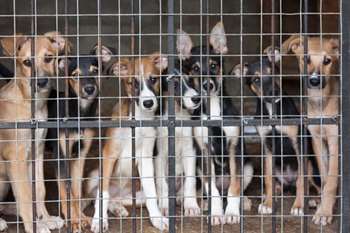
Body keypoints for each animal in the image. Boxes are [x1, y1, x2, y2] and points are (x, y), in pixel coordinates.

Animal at [0, 32, 69, 233]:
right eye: (27, 62)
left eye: (48, 58)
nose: (42, 82)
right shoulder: (15, 158)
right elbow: (24, 194)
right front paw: (35, 226)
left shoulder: (36, 152)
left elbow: (38, 190)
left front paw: (44, 219)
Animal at [44, 48, 100, 232]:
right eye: (75, 75)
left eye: (95, 71)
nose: (89, 89)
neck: (79, 114)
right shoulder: (60, 156)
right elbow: (65, 190)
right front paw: (73, 220)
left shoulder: (80, 155)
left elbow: (75, 191)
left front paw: (81, 218)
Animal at [91, 50, 169, 231]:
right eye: (132, 82)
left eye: (153, 79)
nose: (148, 103)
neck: (138, 121)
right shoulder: (109, 154)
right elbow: (102, 194)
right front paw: (99, 220)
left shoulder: (145, 158)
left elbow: (152, 193)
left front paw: (157, 218)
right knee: (99, 196)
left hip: (135, 195)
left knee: (120, 199)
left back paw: (118, 208)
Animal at [176, 21, 253, 224]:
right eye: (195, 69)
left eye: (213, 65)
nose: (207, 85)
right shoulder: (204, 151)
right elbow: (213, 191)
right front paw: (217, 213)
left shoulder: (234, 148)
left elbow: (235, 185)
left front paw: (232, 213)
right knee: (210, 188)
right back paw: (202, 203)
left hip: (248, 167)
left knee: (233, 187)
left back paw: (244, 201)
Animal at [284, 35, 340, 226]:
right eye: (305, 59)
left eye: (327, 61)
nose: (314, 81)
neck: (320, 103)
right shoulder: (317, 139)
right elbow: (324, 178)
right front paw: (323, 205)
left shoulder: (335, 140)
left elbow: (331, 180)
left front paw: (324, 212)